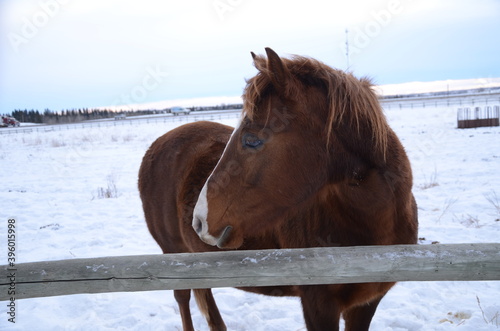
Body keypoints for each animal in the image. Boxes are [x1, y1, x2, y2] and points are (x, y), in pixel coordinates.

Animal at [141, 48, 418, 331]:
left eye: (251, 140)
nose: (199, 221)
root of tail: (158, 144)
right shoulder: (318, 306)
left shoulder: (366, 304)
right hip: (173, 254)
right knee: (183, 298)